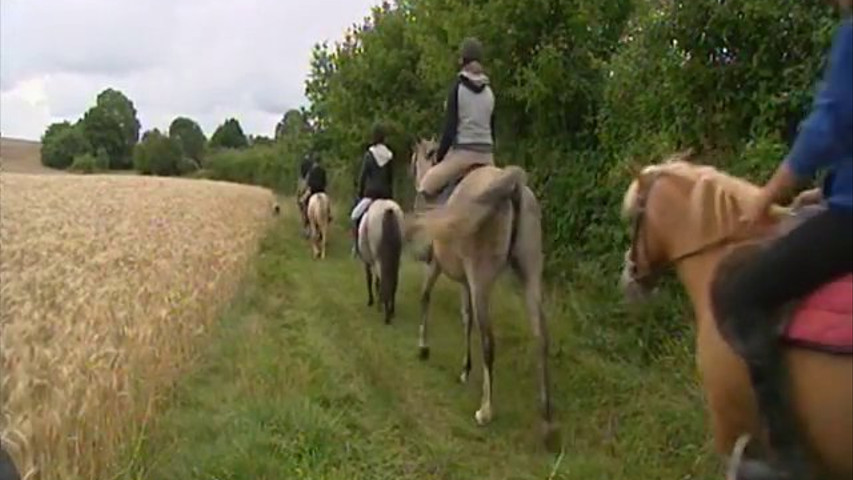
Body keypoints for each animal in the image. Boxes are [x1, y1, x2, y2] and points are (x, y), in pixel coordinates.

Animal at [408, 137, 560, 448]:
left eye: (414, 158)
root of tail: (513, 187)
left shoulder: (436, 265)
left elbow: (425, 297)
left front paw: (423, 347)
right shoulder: (465, 282)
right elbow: (466, 320)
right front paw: (465, 369)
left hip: (482, 280)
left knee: (489, 341)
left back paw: (485, 411)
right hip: (529, 276)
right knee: (541, 336)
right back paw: (546, 417)